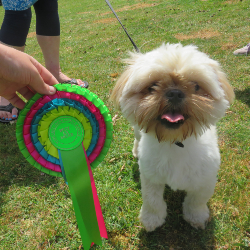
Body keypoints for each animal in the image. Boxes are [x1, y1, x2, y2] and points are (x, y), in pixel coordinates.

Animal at [111, 43, 234, 232]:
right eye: (152, 85)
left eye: (196, 86)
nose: (175, 92)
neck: (175, 142)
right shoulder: (151, 176)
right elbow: (152, 201)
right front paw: (151, 220)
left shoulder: (205, 179)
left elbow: (196, 202)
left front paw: (196, 218)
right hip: (138, 131)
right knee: (137, 138)